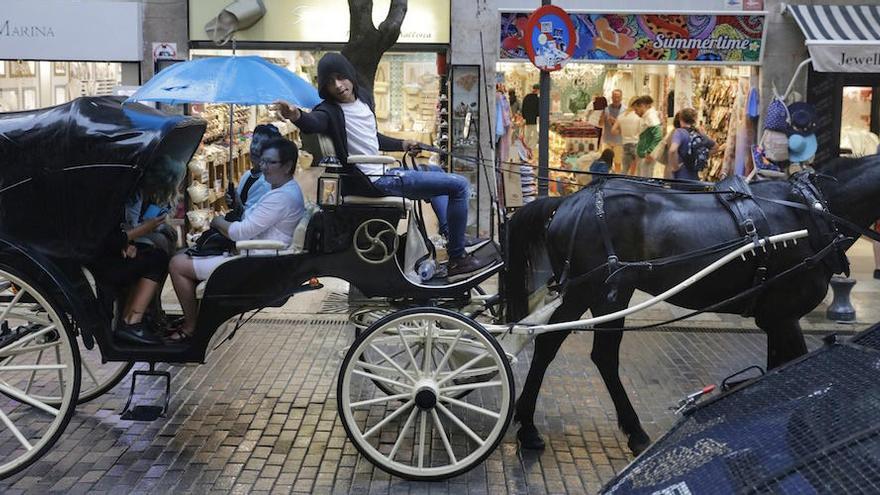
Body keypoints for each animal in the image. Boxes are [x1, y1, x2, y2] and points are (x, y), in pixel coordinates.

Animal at [502, 156, 880, 458]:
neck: (814, 211)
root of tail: (567, 201)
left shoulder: (773, 321)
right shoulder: (784, 317)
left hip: (609, 294)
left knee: (597, 354)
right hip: (590, 290)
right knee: (552, 343)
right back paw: (533, 428)